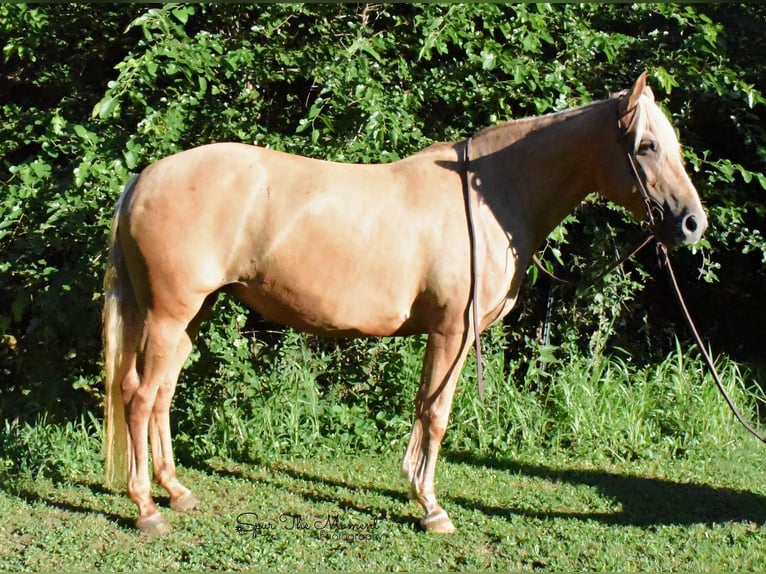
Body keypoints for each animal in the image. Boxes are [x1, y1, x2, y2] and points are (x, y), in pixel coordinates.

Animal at [102, 73, 708, 536]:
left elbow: (425, 410)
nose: (692, 223)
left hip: (190, 316)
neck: (490, 195)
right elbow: (436, 415)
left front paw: (418, 493)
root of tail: (143, 179)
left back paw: (177, 491)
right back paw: (148, 508)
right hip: (169, 315)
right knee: (139, 396)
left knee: (162, 396)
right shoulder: (451, 333)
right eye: (647, 146)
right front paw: (432, 508)